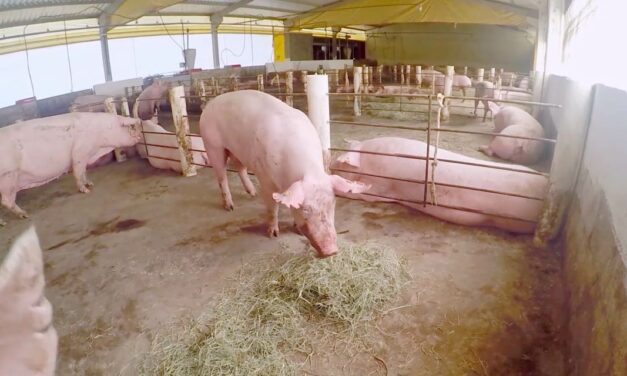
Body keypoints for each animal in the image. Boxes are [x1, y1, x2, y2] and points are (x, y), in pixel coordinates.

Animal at [0, 111, 140, 223]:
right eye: (128, 127)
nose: (139, 135)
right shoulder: (80, 151)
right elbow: (78, 171)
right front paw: (86, 190)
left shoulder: (86, 155)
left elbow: (84, 171)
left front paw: (90, 184)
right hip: (8, 177)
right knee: (6, 201)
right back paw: (25, 215)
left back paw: (4, 223)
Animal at [200, 89, 368, 258]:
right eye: (305, 209)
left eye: (332, 204)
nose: (331, 251)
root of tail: (210, 104)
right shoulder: (265, 179)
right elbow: (272, 207)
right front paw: (273, 234)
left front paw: (297, 230)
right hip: (212, 145)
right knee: (221, 177)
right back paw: (230, 207)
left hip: (237, 151)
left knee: (240, 168)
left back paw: (252, 193)